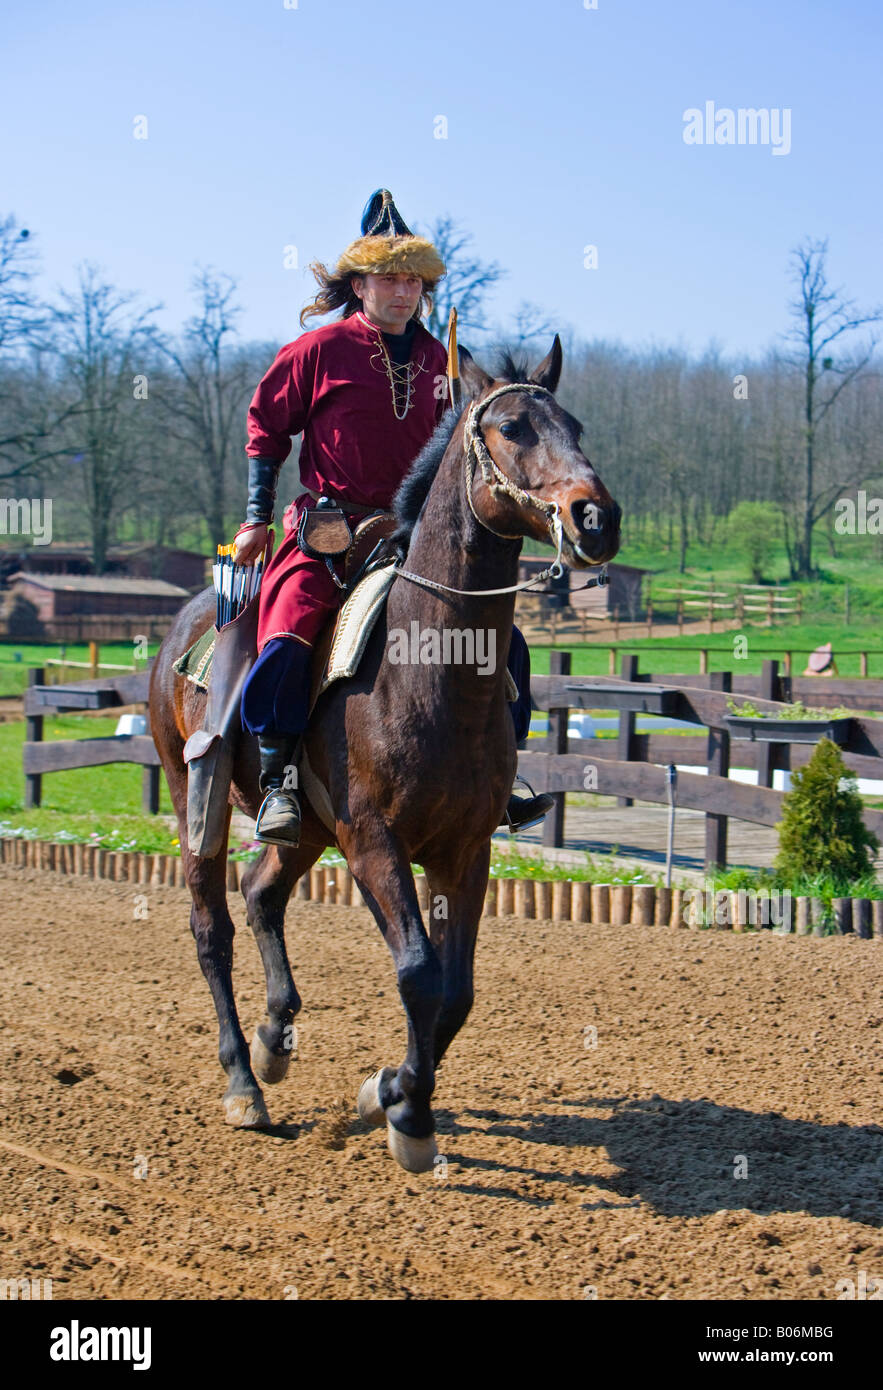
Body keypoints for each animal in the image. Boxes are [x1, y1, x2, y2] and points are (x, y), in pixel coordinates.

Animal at [148, 336, 621, 1172]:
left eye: (574, 425)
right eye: (511, 428)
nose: (595, 516)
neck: (427, 669)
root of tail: (187, 625)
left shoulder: (464, 850)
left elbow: (455, 991)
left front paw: (390, 1092)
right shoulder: (375, 843)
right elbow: (418, 974)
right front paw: (405, 1112)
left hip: (304, 828)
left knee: (262, 892)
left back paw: (273, 1039)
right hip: (193, 798)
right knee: (212, 928)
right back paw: (243, 1081)